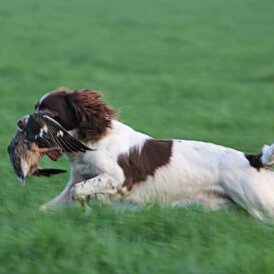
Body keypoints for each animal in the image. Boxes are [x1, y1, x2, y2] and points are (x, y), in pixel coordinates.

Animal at [17, 88, 274, 220]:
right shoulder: (78, 178)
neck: (92, 140)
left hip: (258, 202)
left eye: (48, 111)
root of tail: (253, 160)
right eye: (35, 108)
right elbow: (53, 203)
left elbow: (80, 192)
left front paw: (87, 209)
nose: (20, 123)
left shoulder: (117, 179)